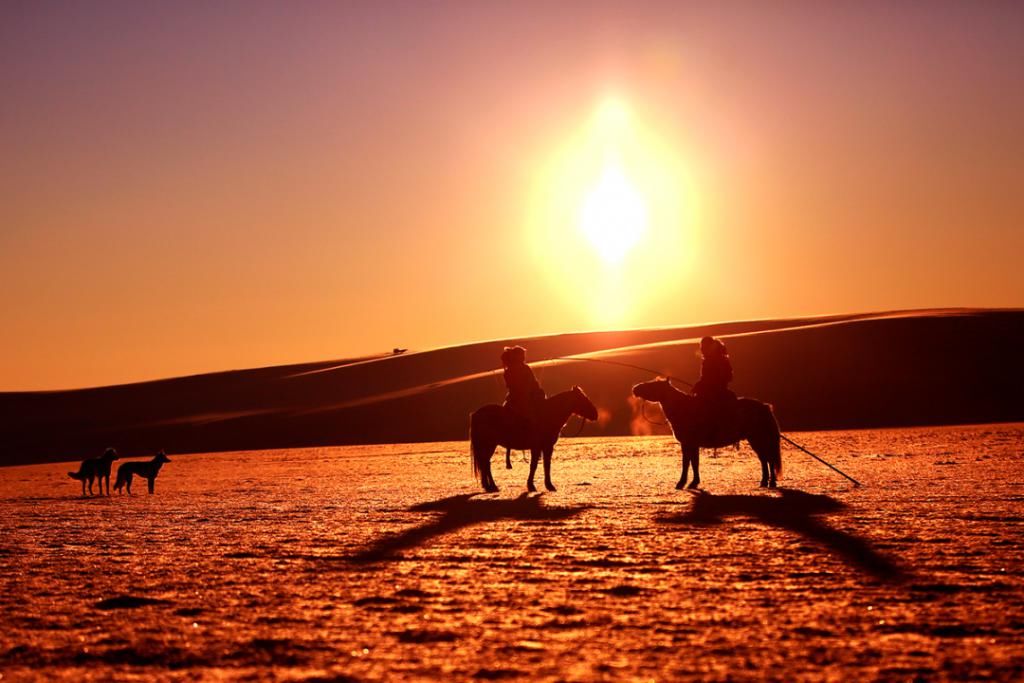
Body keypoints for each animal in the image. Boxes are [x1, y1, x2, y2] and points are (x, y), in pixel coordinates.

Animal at [626, 376, 778, 489]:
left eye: (653, 385)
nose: (635, 388)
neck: (683, 408)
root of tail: (765, 407)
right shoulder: (691, 444)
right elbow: (694, 463)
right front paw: (693, 482)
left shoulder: (688, 443)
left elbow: (687, 463)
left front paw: (682, 483)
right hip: (756, 439)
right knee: (764, 459)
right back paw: (764, 482)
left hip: (758, 438)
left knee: (768, 459)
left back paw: (771, 482)